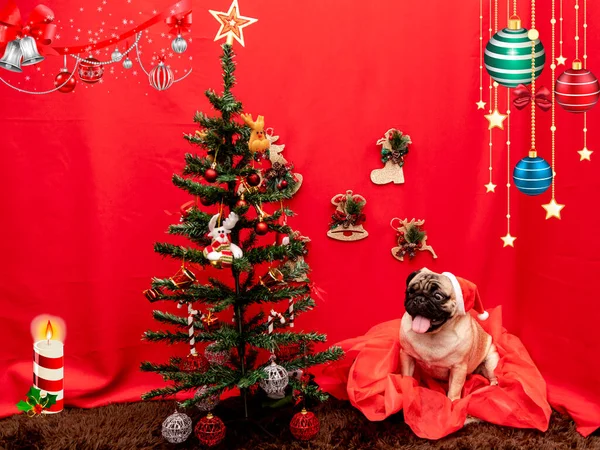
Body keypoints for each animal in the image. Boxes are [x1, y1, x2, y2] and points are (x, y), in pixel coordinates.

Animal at [398, 268, 496, 400]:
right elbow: (407, 375)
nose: (419, 299)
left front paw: (452, 402)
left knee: (492, 375)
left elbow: (454, 390)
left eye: (438, 296)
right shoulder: (406, 355)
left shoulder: (458, 368)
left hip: (491, 361)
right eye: (410, 292)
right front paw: (407, 387)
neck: (432, 335)